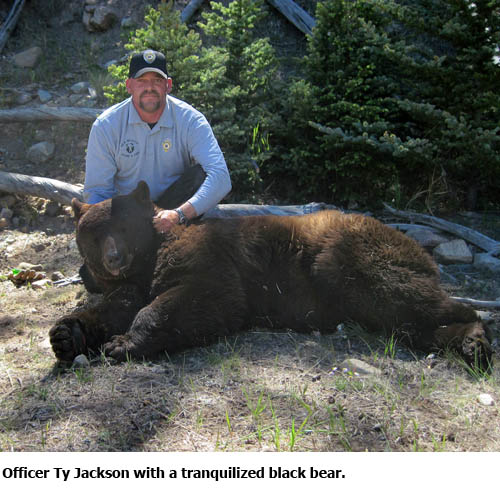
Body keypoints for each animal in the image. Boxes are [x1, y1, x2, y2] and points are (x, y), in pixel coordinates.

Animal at [48, 182, 494, 370]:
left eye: (124, 227)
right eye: (95, 233)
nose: (114, 258)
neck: (149, 256)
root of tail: (418, 247)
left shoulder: (207, 259)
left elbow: (204, 296)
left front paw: (122, 343)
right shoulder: (133, 282)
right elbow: (116, 306)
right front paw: (67, 335)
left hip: (347, 256)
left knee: (403, 294)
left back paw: (474, 337)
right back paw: (461, 342)